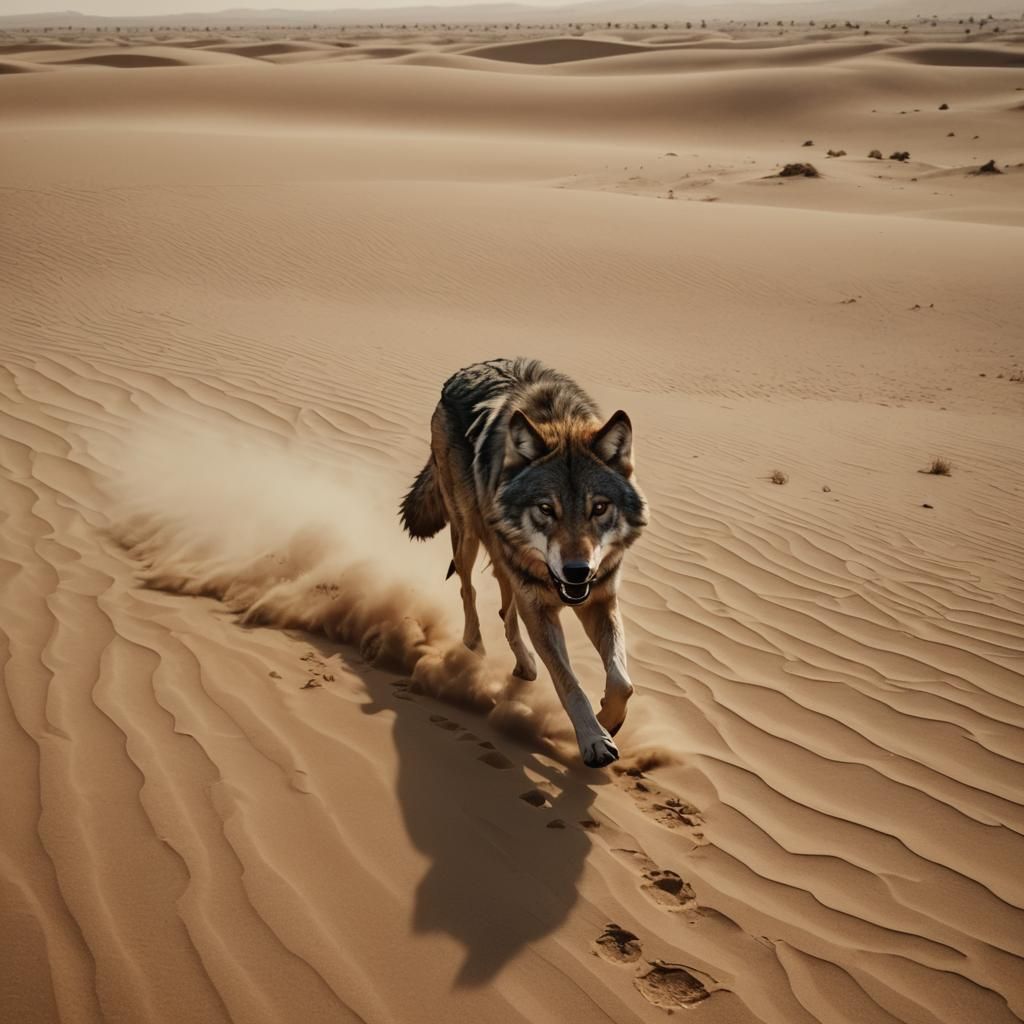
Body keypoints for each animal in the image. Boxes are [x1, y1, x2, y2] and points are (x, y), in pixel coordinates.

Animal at [399, 358, 648, 767]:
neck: (556, 416)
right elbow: (569, 683)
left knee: (505, 607)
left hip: (505, 562)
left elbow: (622, 682)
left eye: (598, 508)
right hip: (468, 536)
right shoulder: (542, 609)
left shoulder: (599, 598)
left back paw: (526, 665)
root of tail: (454, 378)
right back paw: (474, 646)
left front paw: (609, 720)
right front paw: (594, 740)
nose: (577, 572)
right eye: (546, 509)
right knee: (467, 590)